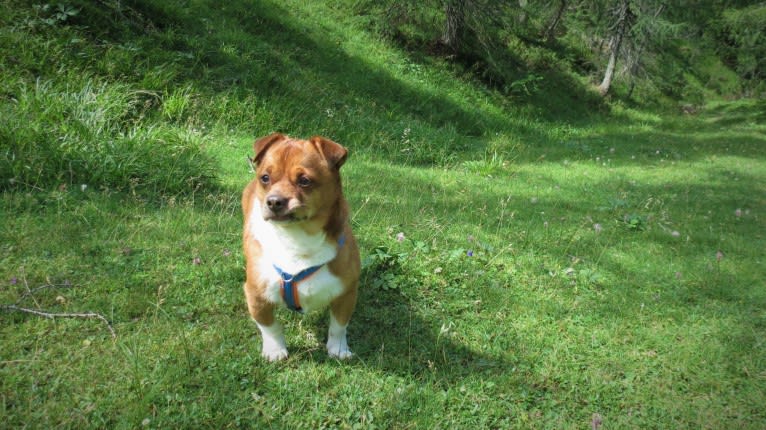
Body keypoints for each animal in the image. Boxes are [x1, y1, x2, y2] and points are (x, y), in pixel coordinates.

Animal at [242, 132, 362, 360]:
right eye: (265, 178)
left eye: (304, 181)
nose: (274, 201)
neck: (297, 238)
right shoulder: (256, 295)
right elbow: (270, 327)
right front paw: (275, 350)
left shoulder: (346, 294)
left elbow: (339, 326)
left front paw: (338, 349)